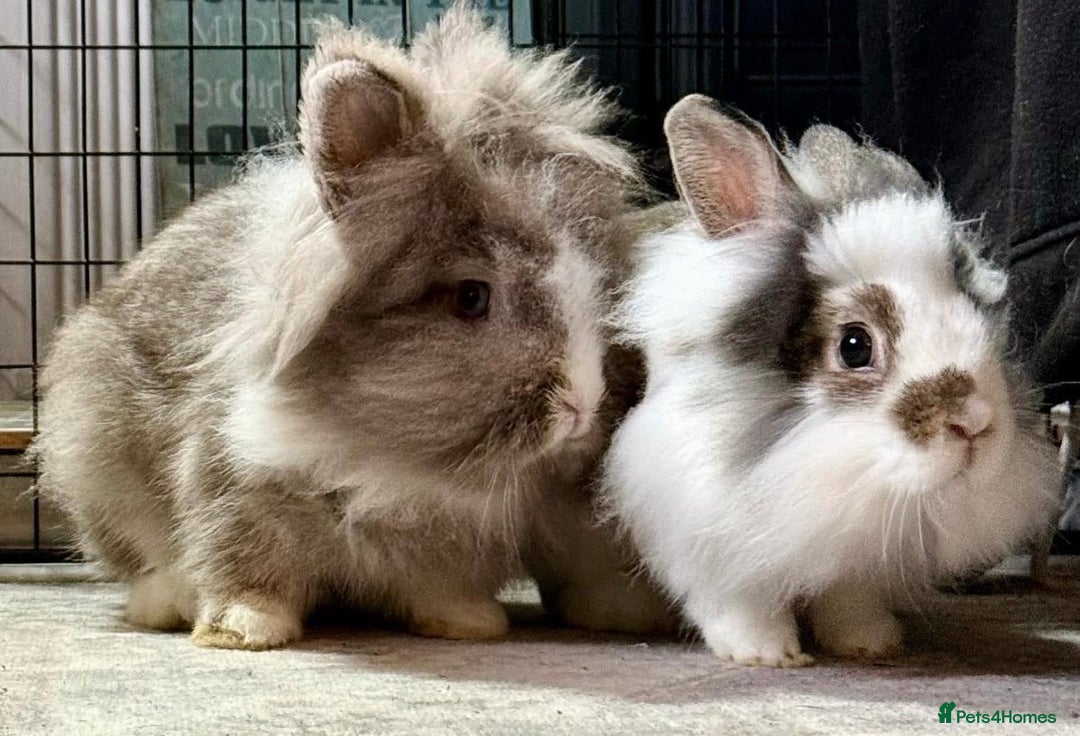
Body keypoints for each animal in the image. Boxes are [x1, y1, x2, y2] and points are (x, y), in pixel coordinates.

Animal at [31, 3, 672, 650]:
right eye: (471, 297)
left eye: (598, 283)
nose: (582, 405)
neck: (384, 453)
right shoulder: (230, 481)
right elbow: (240, 563)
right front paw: (244, 629)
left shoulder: (448, 542)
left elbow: (440, 586)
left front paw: (467, 623)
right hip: (92, 451)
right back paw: (166, 600)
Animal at [601, 94, 1062, 667]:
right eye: (854, 345)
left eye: (978, 315)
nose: (975, 423)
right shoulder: (695, 515)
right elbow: (738, 599)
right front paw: (765, 653)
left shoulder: (849, 541)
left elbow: (847, 593)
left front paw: (870, 642)